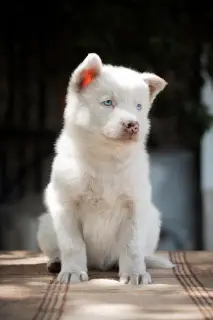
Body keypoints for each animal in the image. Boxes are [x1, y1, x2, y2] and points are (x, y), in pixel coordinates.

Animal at [36, 53, 173, 284]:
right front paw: (72, 272)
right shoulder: (65, 203)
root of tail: (100, 265)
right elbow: (72, 244)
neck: (106, 159)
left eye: (138, 107)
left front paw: (135, 274)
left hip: (153, 219)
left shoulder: (135, 205)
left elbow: (132, 246)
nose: (133, 125)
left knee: (137, 253)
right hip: (46, 224)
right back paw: (56, 263)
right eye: (108, 102)